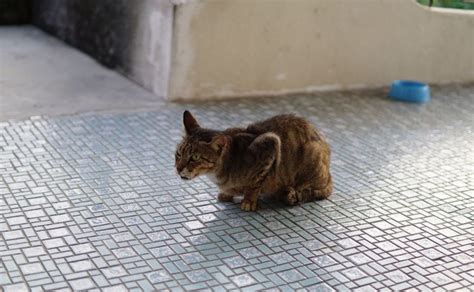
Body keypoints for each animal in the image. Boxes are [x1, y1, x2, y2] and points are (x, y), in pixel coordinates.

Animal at [175, 110, 334, 211]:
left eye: (195, 157)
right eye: (179, 153)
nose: (178, 168)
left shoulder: (271, 142)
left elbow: (256, 183)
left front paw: (249, 201)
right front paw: (227, 194)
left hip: (312, 158)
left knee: (320, 191)